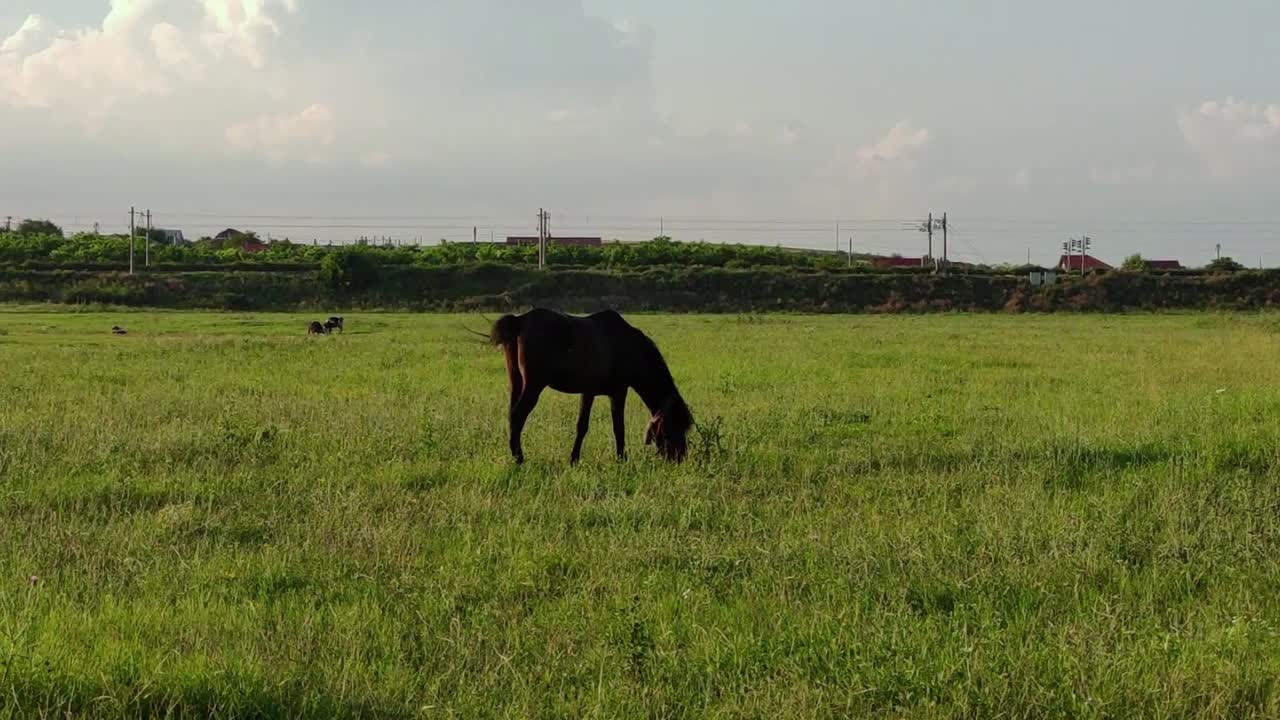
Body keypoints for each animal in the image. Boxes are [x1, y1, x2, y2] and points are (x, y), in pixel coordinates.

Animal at [490, 308, 693, 465]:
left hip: (516, 382)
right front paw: (620, 459)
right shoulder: (612, 392)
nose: (680, 458)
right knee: (518, 415)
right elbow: (609, 426)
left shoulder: (599, 392)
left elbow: (597, 426)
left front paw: (577, 459)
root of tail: (520, 320)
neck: (628, 347)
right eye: (675, 426)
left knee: (512, 414)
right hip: (533, 385)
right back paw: (519, 458)